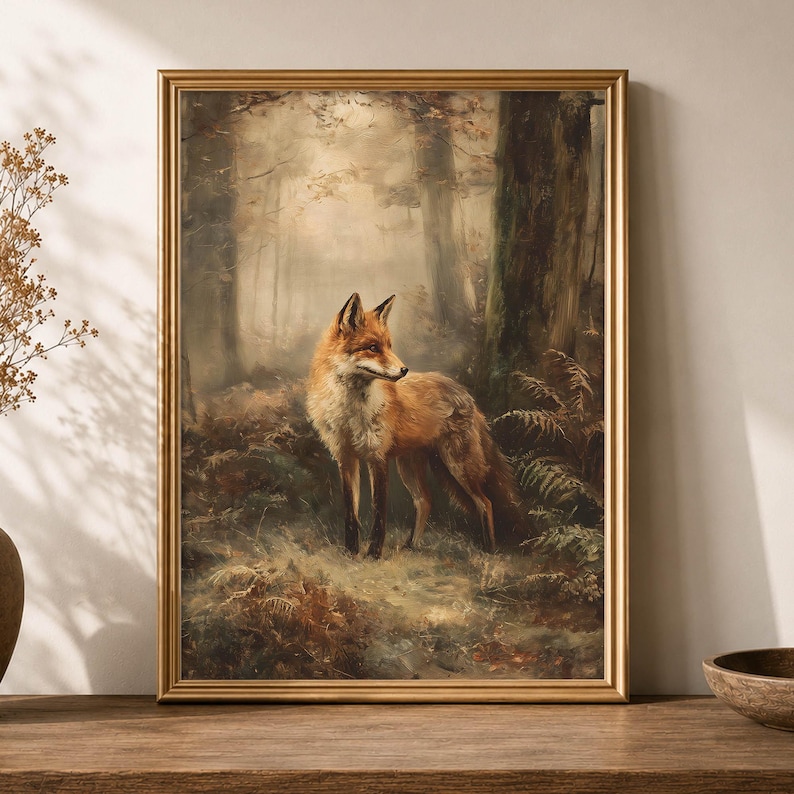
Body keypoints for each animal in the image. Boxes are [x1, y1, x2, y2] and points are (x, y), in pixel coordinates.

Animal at [306, 292, 520, 559]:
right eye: (373, 348)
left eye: (389, 346)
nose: (404, 370)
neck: (350, 411)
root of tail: (464, 393)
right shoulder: (346, 458)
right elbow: (351, 515)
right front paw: (351, 553)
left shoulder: (377, 459)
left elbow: (379, 515)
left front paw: (373, 555)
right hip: (409, 466)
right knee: (425, 500)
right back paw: (411, 546)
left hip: (458, 464)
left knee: (485, 502)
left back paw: (489, 549)